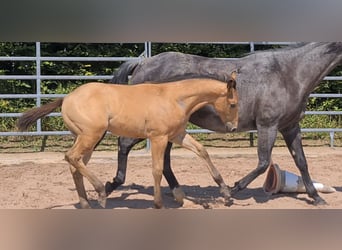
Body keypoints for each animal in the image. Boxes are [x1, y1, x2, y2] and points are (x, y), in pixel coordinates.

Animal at [16, 76, 238, 209]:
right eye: (233, 104)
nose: (234, 128)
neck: (175, 99)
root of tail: (67, 98)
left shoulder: (177, 135)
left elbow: (202, 151)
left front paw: (226, 194)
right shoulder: (158, 137)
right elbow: (157, 170)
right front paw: (159, 203)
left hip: (86, 138)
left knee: (75, 165)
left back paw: (87, 203)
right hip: (91, 135)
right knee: (71, 157)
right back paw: (100, 191)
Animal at [106, 42, 342, 205]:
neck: (288, 74)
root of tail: (143, 63)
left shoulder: (290, 126)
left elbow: (301, 162)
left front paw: (317, 197)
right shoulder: (268, 125)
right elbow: (263, 162)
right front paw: (232, 190)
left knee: (163, 161)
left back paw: (178, 193)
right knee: (125, 145)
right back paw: (112, 185)